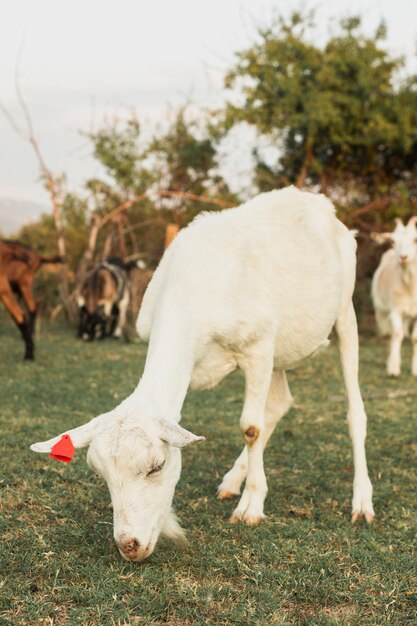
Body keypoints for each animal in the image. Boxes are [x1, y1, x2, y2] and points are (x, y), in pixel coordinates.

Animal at [30, 185, 374, 560]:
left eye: (157, 466)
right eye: (101, 474)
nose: (129, 546)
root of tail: (320, 204)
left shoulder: (258, 347)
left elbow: (251, 427)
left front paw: (251, 507)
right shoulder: (261, 350)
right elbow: (261, 420)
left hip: (343, 313)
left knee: (353, 410)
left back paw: (361, 501)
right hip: (282, 348)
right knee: (280, 403)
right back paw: (232, 481)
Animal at [370, 216, 416, 376]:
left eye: (415, 239)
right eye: (393, 241)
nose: (403, 257)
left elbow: (415, 338)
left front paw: (415, 370)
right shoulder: (395, 310)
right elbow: (397, 334)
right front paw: (394, 369)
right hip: (384, 311)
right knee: (392, 334)